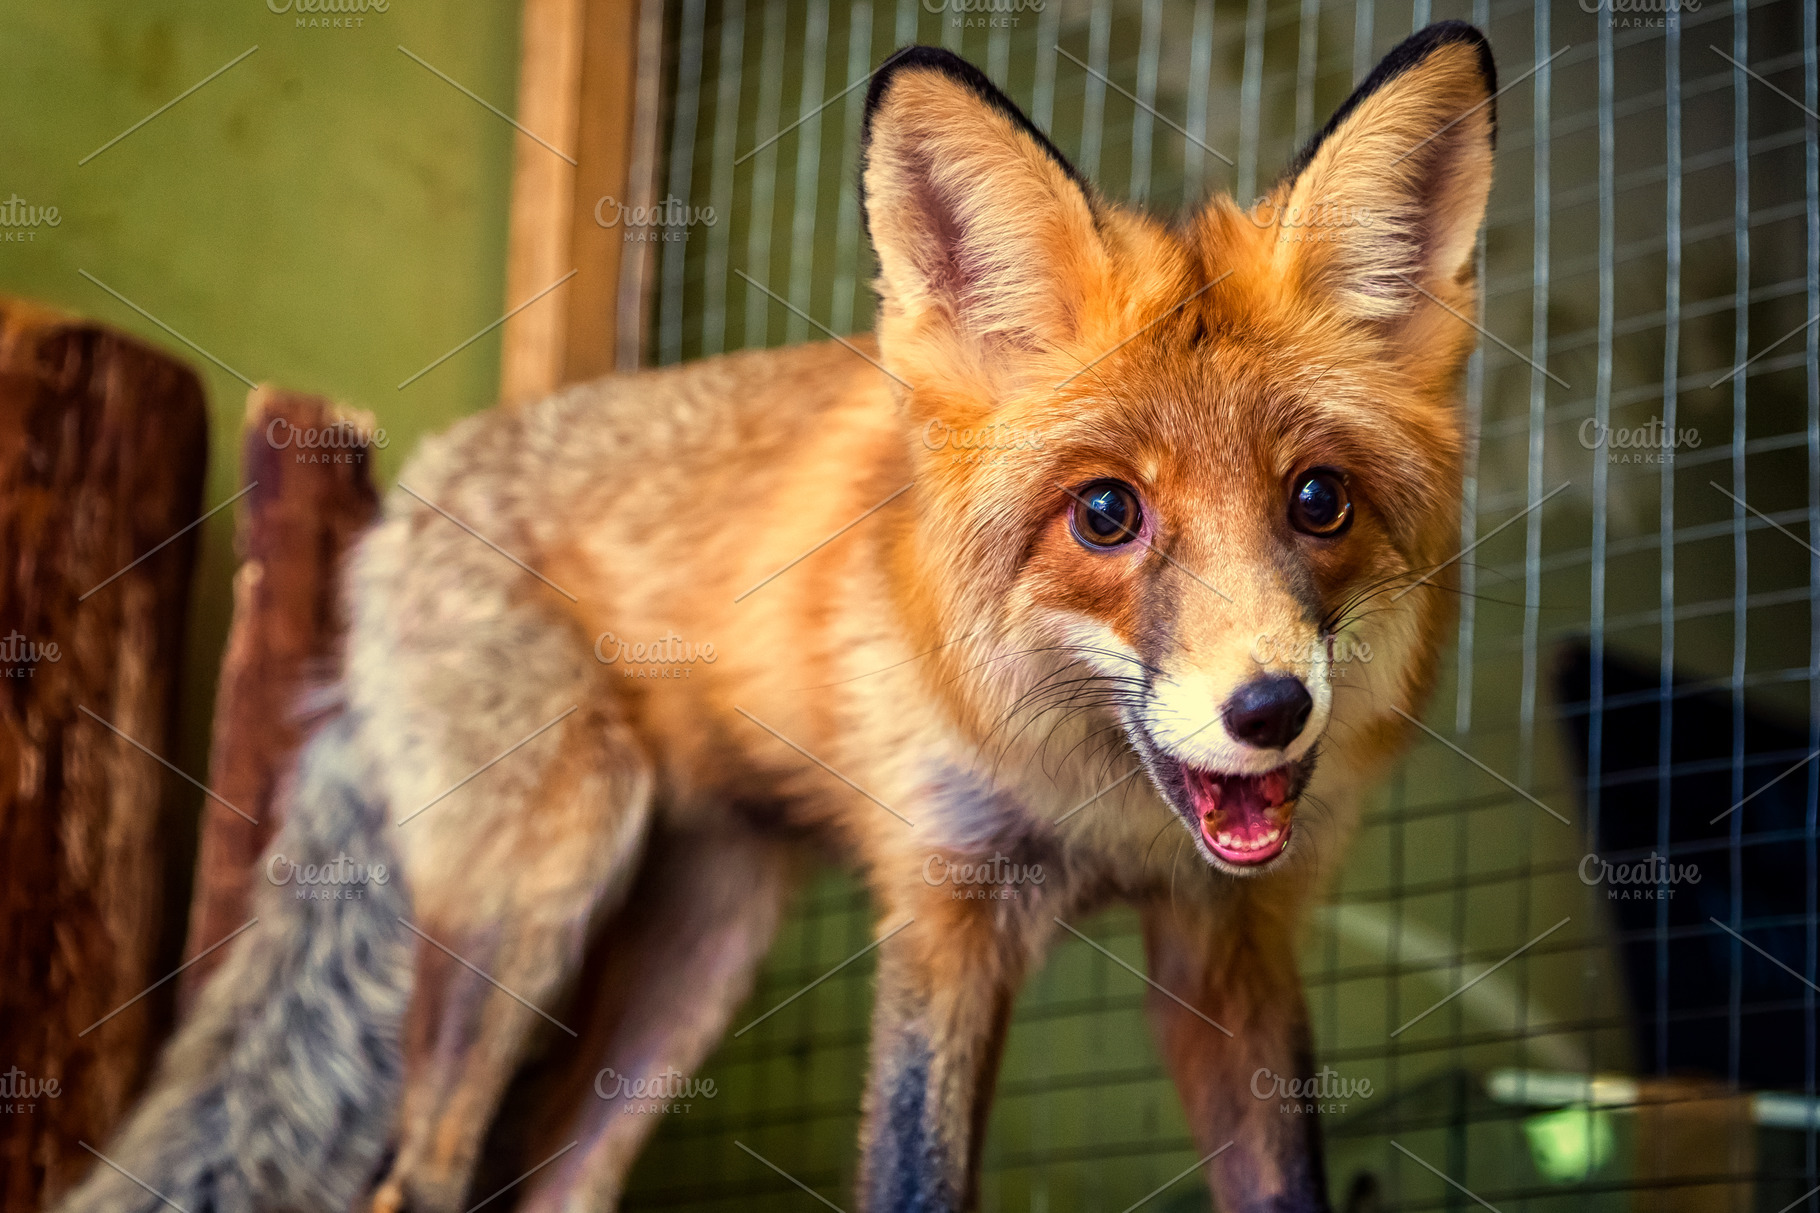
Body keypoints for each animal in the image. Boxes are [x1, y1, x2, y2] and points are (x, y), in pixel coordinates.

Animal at [64, 21, 1499, 1213]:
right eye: (1106, 514)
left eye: (1317, 499)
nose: (1270, 712)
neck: (1100, 799)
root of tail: (409, 497)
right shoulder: (943, 898)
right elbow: (912, 1175)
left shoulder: (1230, 944)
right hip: (544, 892)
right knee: (414, 1180)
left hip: (697, 955)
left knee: (553, 1185)